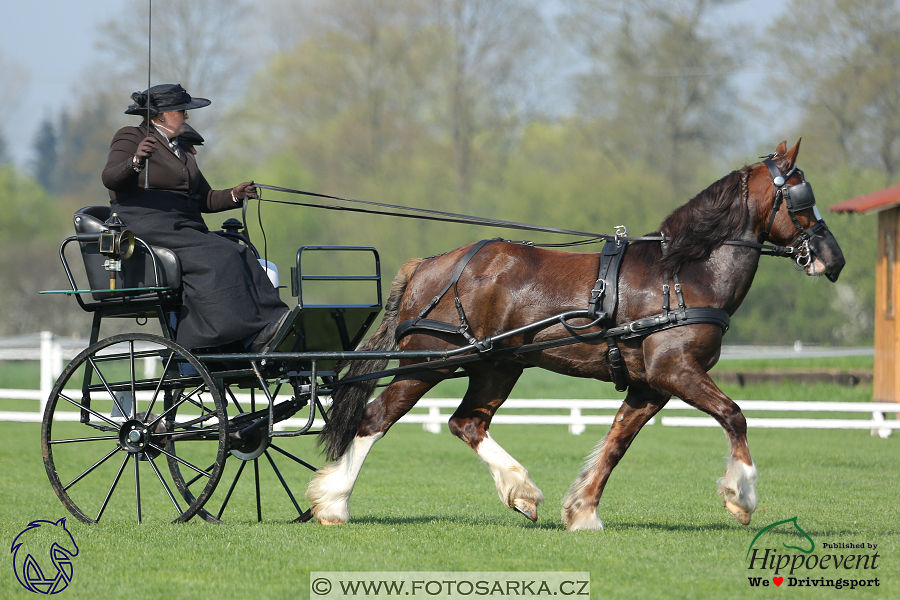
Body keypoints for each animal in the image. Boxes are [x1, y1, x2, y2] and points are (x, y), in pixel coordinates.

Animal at [308, 139, 844, 528]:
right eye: (803, 198)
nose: (833, 259)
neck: (682, 275)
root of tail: (432, 264)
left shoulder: (650, 385)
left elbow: (615, 446)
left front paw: (583, 511)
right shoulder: (675, 371)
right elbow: (734, 415)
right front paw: (742, 497)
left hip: (497, 365)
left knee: (467, 423)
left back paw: (520, 490)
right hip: (431, 361)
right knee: (375, 418)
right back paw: (334, 503)